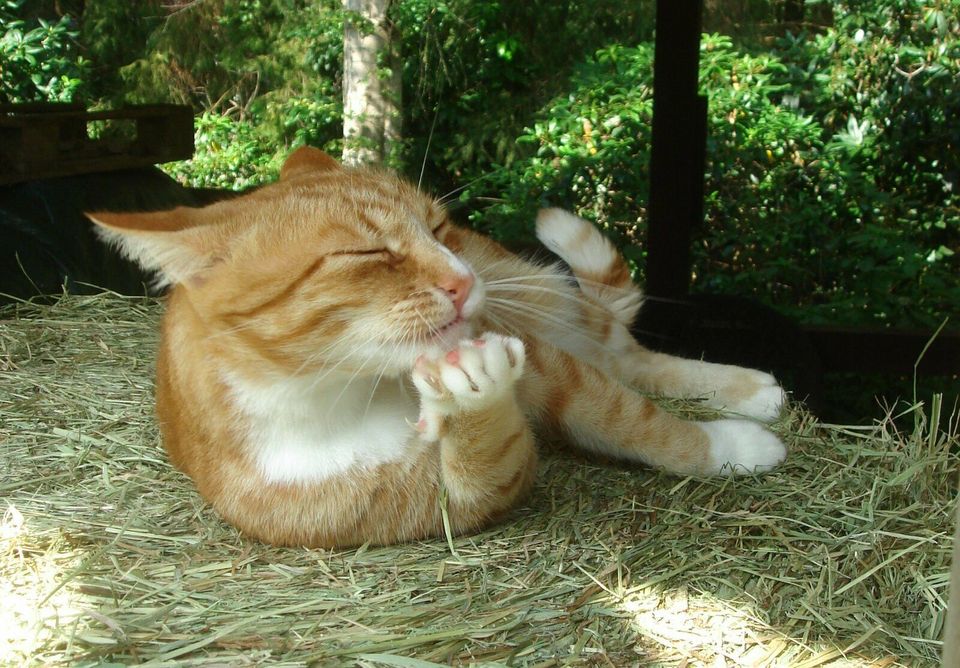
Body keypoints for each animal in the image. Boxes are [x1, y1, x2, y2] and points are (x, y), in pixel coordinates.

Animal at [90, 147, 792, 548]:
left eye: (437, 226)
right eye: (366, 253)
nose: (462, 280)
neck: (342, 393)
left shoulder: (543, 363)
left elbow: (635, 419)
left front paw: (729, 447)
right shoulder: (458, 501)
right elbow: (484, 464)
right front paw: (471, 400)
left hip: (532, 298)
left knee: (622, 356)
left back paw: (748, 391)